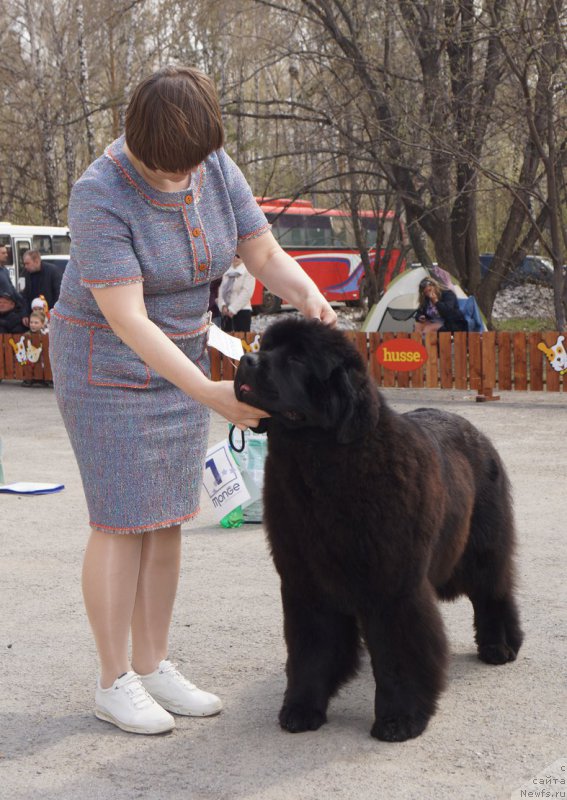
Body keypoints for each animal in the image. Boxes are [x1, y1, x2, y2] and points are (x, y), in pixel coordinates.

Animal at [235, 316, 524, 740]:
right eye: (265, 346)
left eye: (298, 358)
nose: (246, 360)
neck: (317, 465)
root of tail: (476, 431)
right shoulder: (305, 583)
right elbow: (310, 649)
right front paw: (302, 708)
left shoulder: (392, 585)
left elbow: (398, 654)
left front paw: (399, 719)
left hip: (484, 547)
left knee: (493, 593)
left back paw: (500, 648)